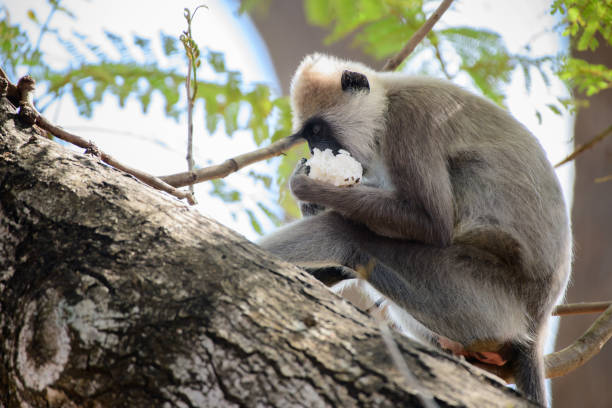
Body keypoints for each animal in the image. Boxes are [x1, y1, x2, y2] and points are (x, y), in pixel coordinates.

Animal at [256, 53, 568, 404]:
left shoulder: (410, 120)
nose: (314, 149)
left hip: (479, 300)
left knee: (343, 233)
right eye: (310, 136)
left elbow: (433, 224)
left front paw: (308, 189)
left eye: (319, 130)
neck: (387, 101)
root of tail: (538, 322)